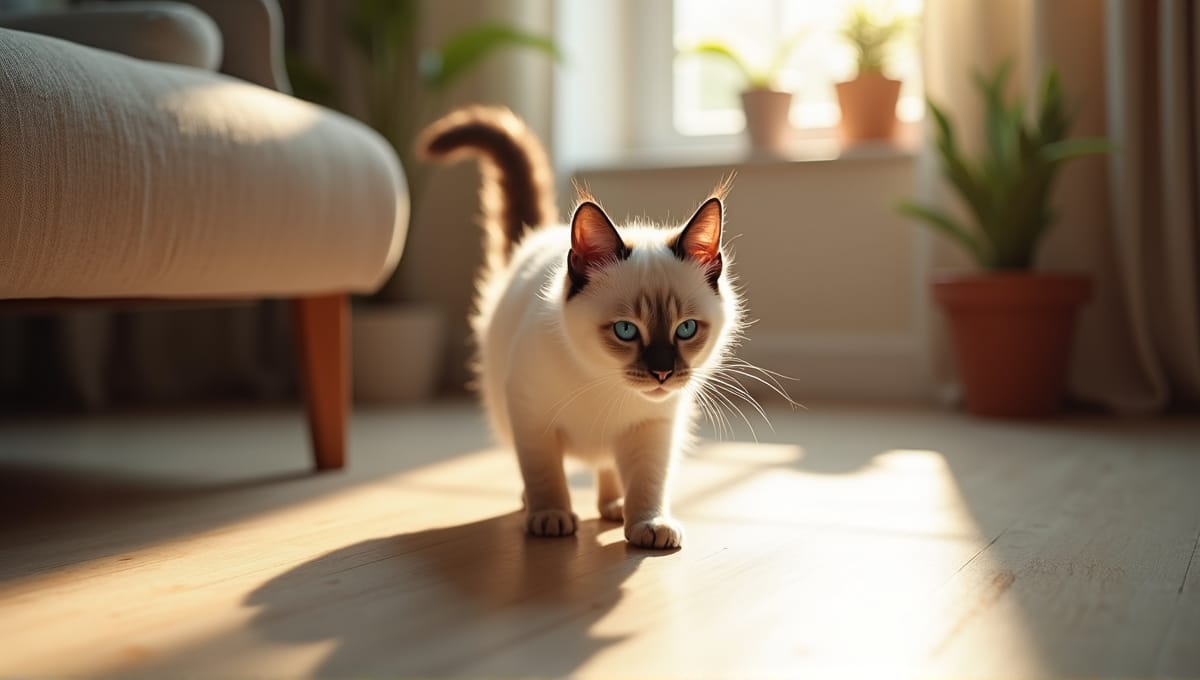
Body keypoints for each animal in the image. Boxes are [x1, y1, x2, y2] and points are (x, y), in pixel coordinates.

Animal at [420, 107, 739, 554]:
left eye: (687, 329)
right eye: (626, 331)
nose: (662, 373)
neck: (605, 385)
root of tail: (538, 237)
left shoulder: (652, 427)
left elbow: (649, 481)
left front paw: (648, 524)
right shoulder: (532, 418)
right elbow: (544, 473)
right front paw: (551, 517)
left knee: (608, 468)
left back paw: (615, 507)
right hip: (504, 409)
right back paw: (535, 506)